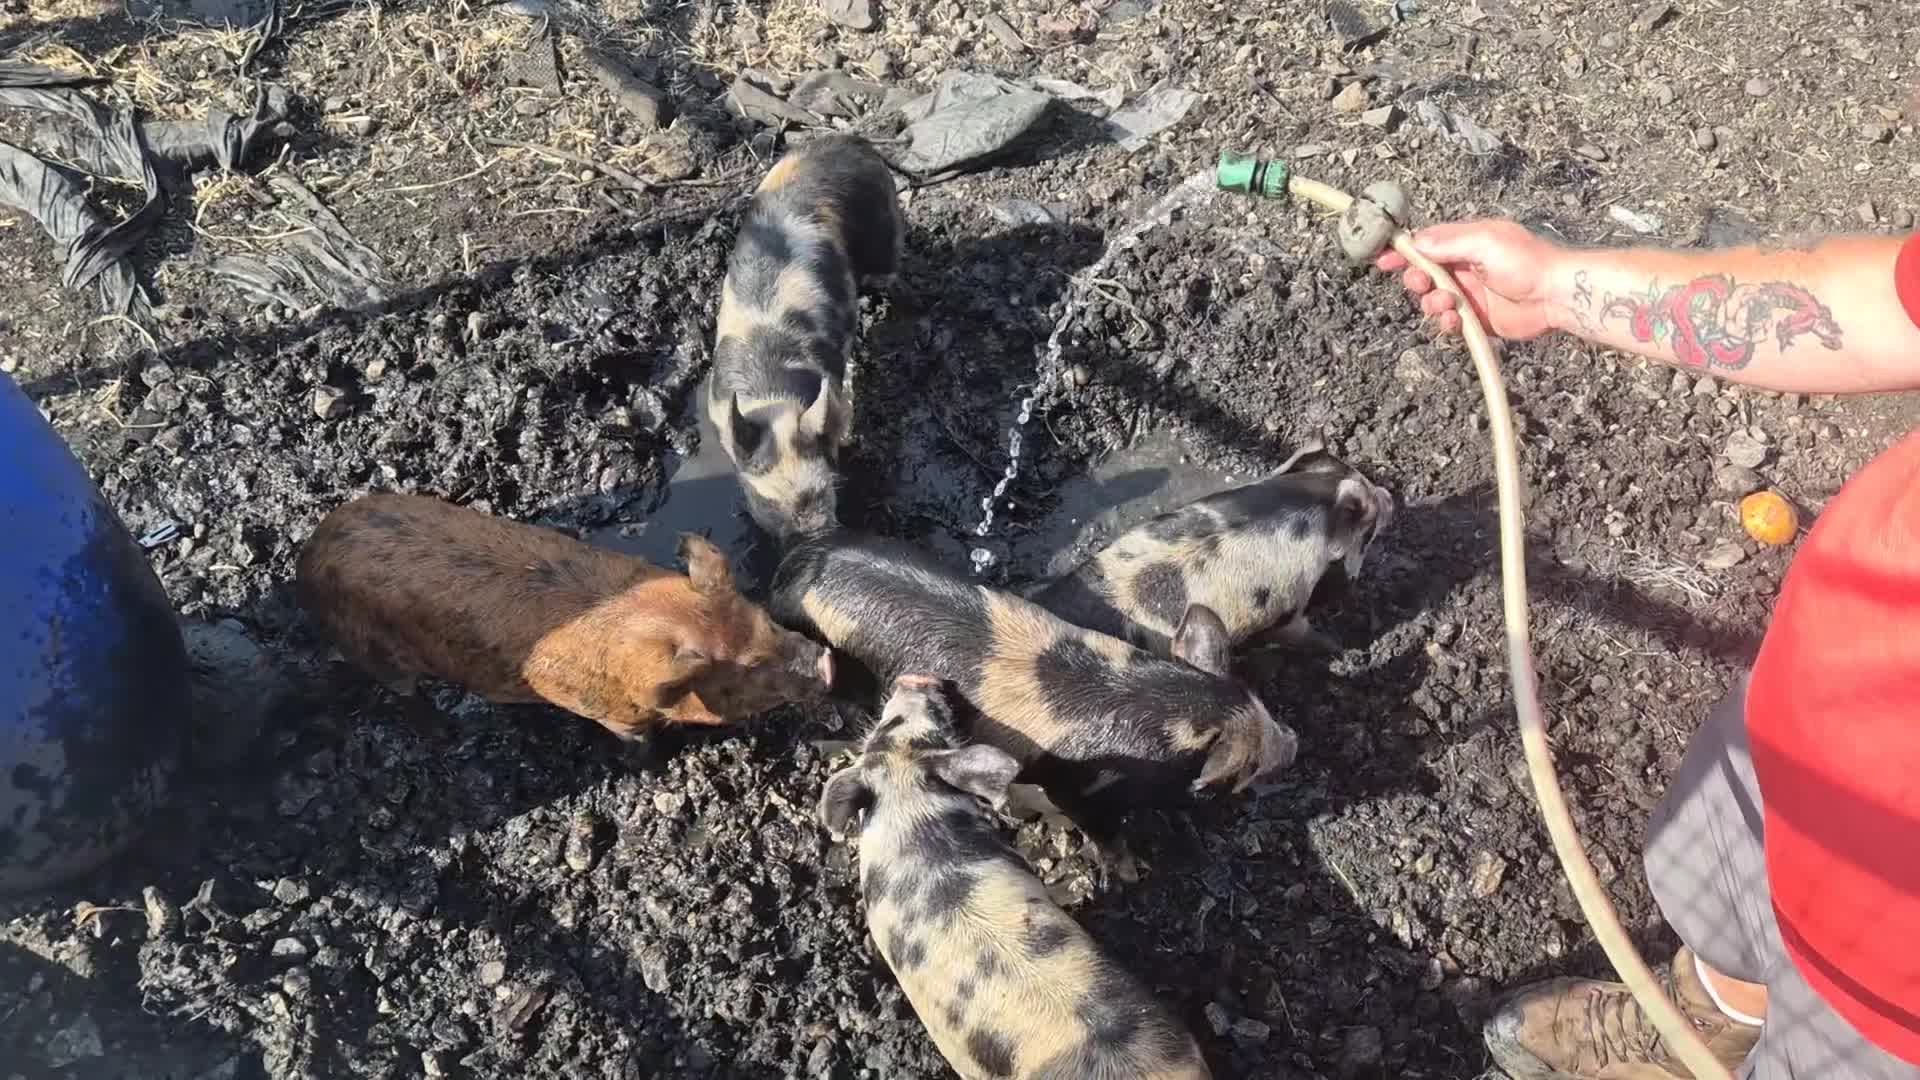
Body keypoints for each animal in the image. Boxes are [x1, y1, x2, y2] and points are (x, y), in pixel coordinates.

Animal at [295, 492, 834, 739]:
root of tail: (312, 549)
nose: (828, 662)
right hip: (375, 652)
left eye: (765, 618)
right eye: (746, 674)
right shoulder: (605, 713)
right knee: (403, 692)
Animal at [706, 133, 906, 541]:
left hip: (883, 217)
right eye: (769, 502)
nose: (814, 532)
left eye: (823, 490)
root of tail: (849, 140)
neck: (774, 396)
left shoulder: (834, 399)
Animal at [772, 528, 1296, 861]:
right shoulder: (1081, 790)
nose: (1292, 743)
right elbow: (1101, 831)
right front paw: (1131, 869)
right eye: (1245, 765)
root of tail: (793, 568)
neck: (1169, 710)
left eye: (1262, 706)